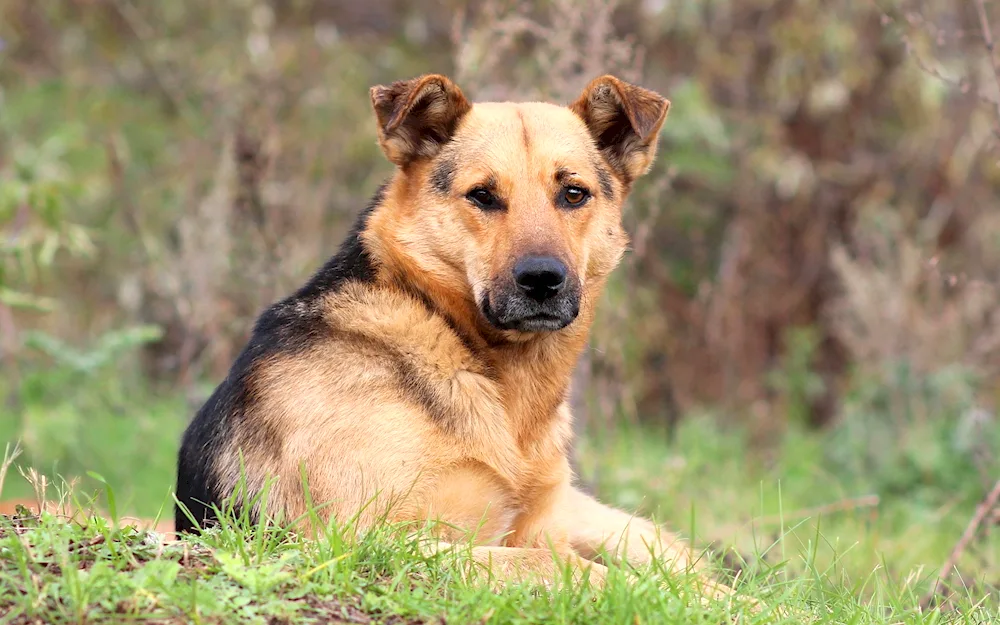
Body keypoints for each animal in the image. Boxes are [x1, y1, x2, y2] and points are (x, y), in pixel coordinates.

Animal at [172, 73, 736, 600]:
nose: (542, 280)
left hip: (617, 527)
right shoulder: (366, 540)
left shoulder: (539, 522)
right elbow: (563, 566)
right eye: (482, 195)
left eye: (573, 193)